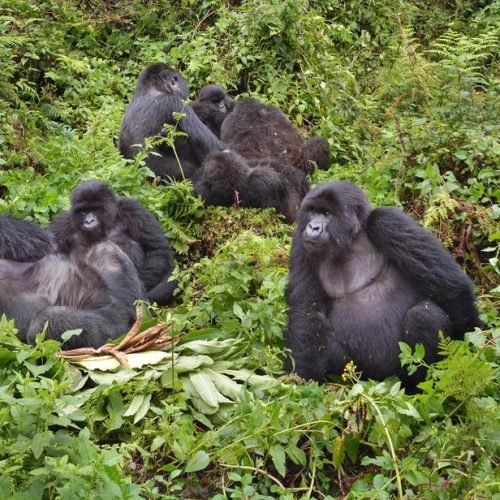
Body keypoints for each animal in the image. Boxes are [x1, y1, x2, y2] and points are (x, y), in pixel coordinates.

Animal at [284, 183, 478, 386]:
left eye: (327, 213)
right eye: (313, 211)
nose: (313, 227)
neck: (351, 239)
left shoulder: (388, 220)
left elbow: (452, 286)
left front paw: (467, 343)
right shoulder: (301, 243)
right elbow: (308, 312)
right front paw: (300, 377)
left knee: (424, 314)